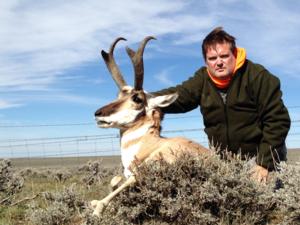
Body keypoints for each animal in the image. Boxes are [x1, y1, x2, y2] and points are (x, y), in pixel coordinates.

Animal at [91, 36, 209, 216]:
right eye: (118, 95)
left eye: (137, 98)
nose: (98, 114)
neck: (150, 143)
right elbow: (115, 180)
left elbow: (125, 182)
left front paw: (98, 209)